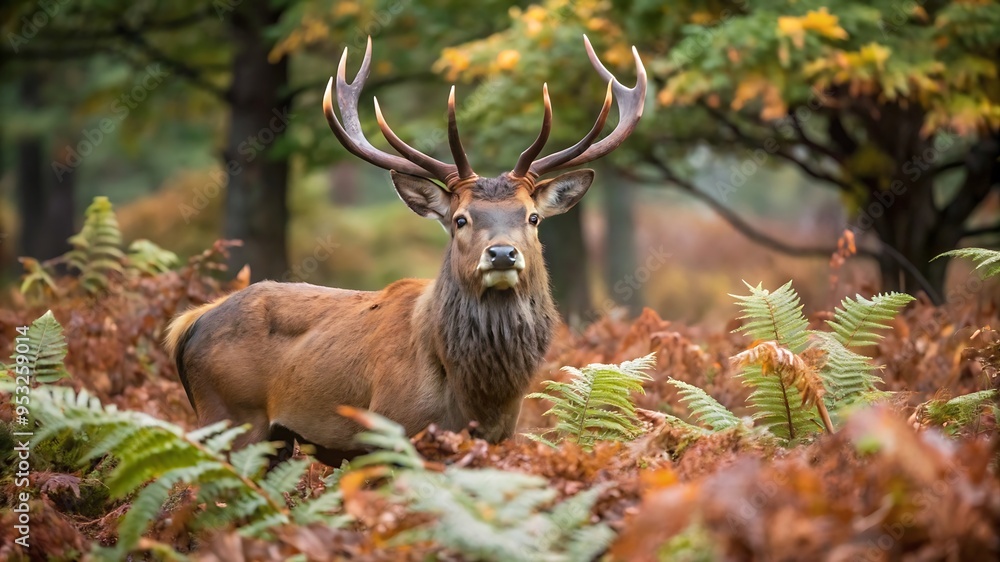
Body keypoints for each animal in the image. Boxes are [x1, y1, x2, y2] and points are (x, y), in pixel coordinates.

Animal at [164, 35, 646, 466]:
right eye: (460, 219)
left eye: (532, 217)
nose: (502, 255)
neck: (477, 399)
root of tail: (189, 324)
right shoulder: (388, 435)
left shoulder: (496, 441)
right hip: (230, 417)